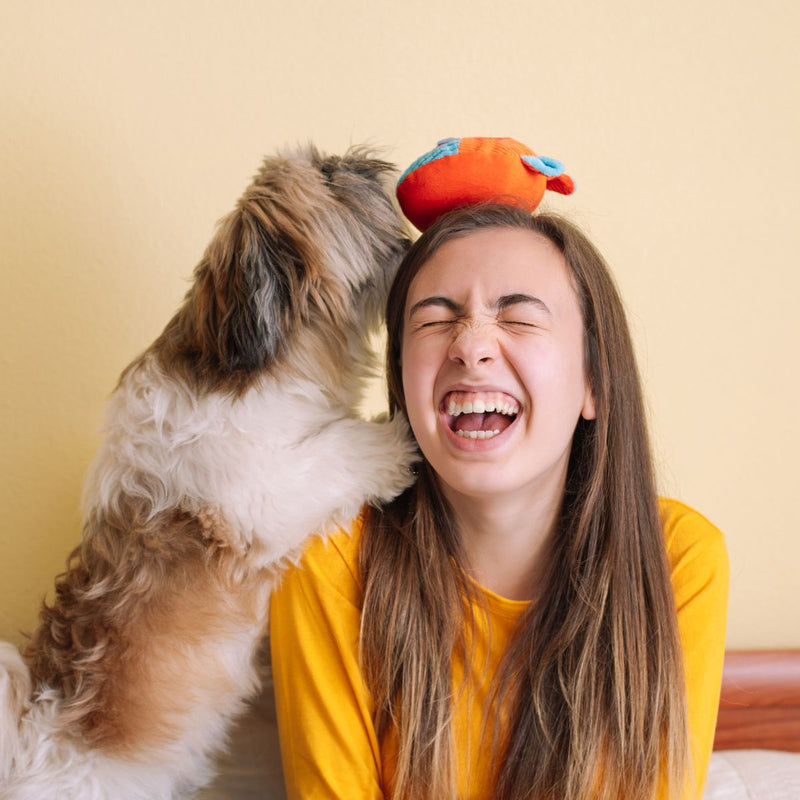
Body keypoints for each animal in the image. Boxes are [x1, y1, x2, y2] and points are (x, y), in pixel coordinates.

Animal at [0, 147, 416, 796]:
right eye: (327, 176)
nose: (366, 163)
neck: (260, 369)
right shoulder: (262, 495)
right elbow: (340, 449)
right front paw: (398, 439)